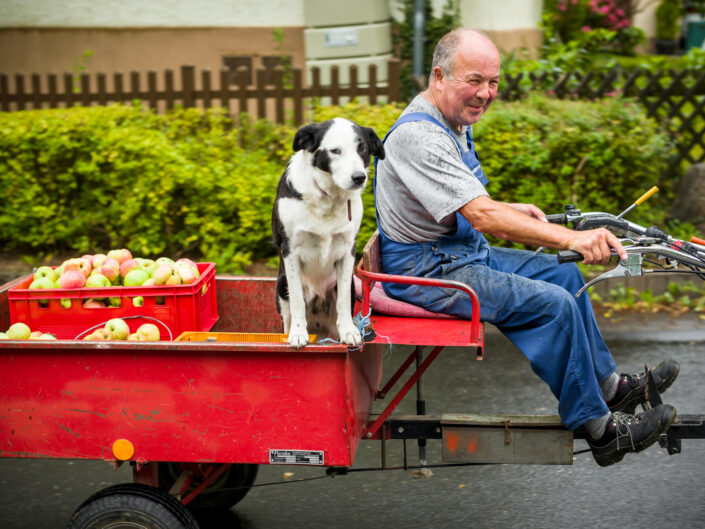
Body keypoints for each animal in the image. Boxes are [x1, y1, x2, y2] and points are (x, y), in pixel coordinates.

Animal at [272, 116, 384, 346]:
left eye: (362, 149)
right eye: (335, 151)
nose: (359, 177)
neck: (328, 198)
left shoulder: (348, 251)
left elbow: (342, 300)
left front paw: (349, 330)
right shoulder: (290, 251)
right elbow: (297, 298)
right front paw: (298, 333)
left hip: (349, 289)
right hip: (281, 285)